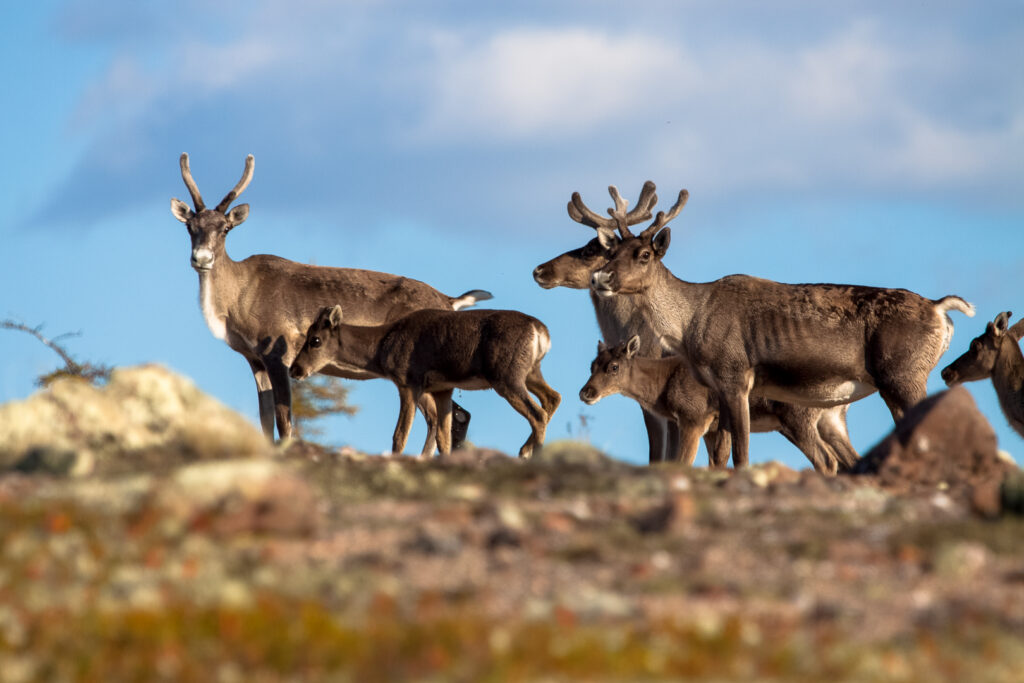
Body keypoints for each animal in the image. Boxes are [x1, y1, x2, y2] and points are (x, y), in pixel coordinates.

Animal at [288, 305, 561, 456]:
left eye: (315, 340)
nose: (295, 369)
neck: (382, 347)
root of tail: (542, 332)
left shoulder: (409, 382)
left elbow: (400, 435)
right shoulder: (443, 388)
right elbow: (444, 438)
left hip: (506, 375)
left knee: (537, 413)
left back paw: (532, 455)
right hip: (531, 371)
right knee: (553, 397)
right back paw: (525, 450)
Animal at [581, 335, 860, 475]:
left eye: (614, 366)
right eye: (592, 365)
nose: (586, 392)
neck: (662, 388)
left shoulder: (693, 418)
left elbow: (684, 462)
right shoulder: (712, 428)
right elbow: (717, 462)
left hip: (797, 417)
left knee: (826, 460)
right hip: (832, 422)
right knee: (852, 460)